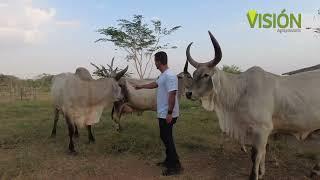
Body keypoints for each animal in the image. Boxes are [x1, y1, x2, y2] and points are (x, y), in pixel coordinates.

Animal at [185, 30, 320, 179]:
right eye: (194, 74)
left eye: (205, 75)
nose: (188, 93)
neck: (240, 91)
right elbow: (263, 153)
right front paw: (261, 173)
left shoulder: (262, 129)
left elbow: (256, 156)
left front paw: (255, 175)